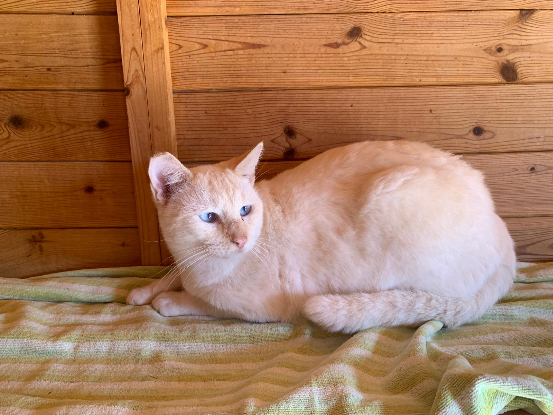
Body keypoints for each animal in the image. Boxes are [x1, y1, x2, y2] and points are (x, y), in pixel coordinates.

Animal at [127, 140, 516, 333]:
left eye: (244, 211)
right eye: (210, 217)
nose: (240, 240)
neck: (201, 267)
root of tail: (503, 231)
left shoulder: (261, 310)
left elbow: (202, 303)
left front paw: (167, 300)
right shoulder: (184, 264)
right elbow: (171, 277)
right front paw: (144, 291)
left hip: (392, 197)